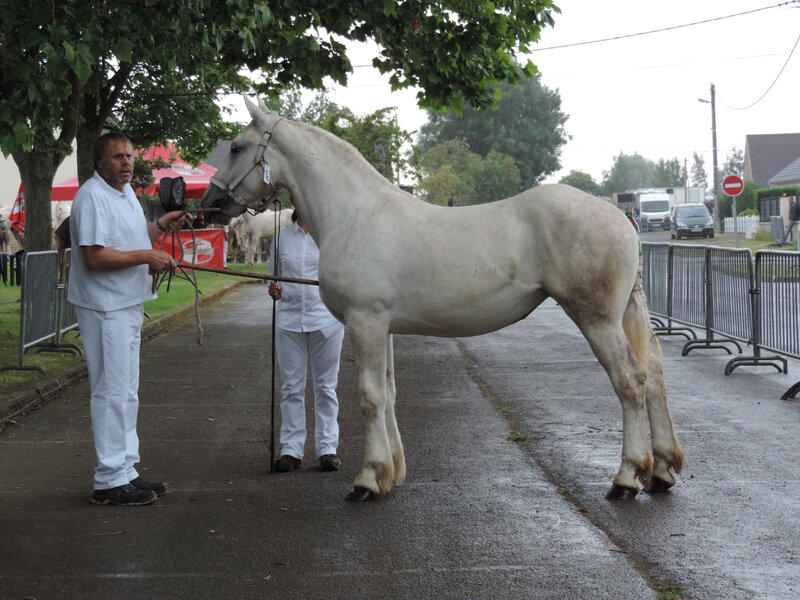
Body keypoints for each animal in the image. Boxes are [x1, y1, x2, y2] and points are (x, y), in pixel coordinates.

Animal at [203, 99, 684, 502]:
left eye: (237, 147)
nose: (210, 202)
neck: (355, 213)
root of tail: (619, 216)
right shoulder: (383, 326)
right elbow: (389, 394)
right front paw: (390, 474)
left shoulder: (365, 322)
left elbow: (370, 397)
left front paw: (366, 480)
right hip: (624, 316)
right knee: (656, 378)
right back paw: (661, 472)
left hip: (597, 319)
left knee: (630, 381)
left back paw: (626, 478)